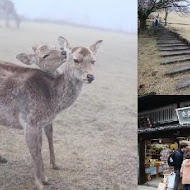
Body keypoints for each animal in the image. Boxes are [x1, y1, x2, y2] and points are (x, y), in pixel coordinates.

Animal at [0, 36, 102, 189]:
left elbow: (40, 147)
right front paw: (39, 183)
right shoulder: (30, 121)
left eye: (93, 60)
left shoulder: (41, 123)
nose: (90, 76)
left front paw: (46, 178)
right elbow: (34, 149)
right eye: (76, 60)